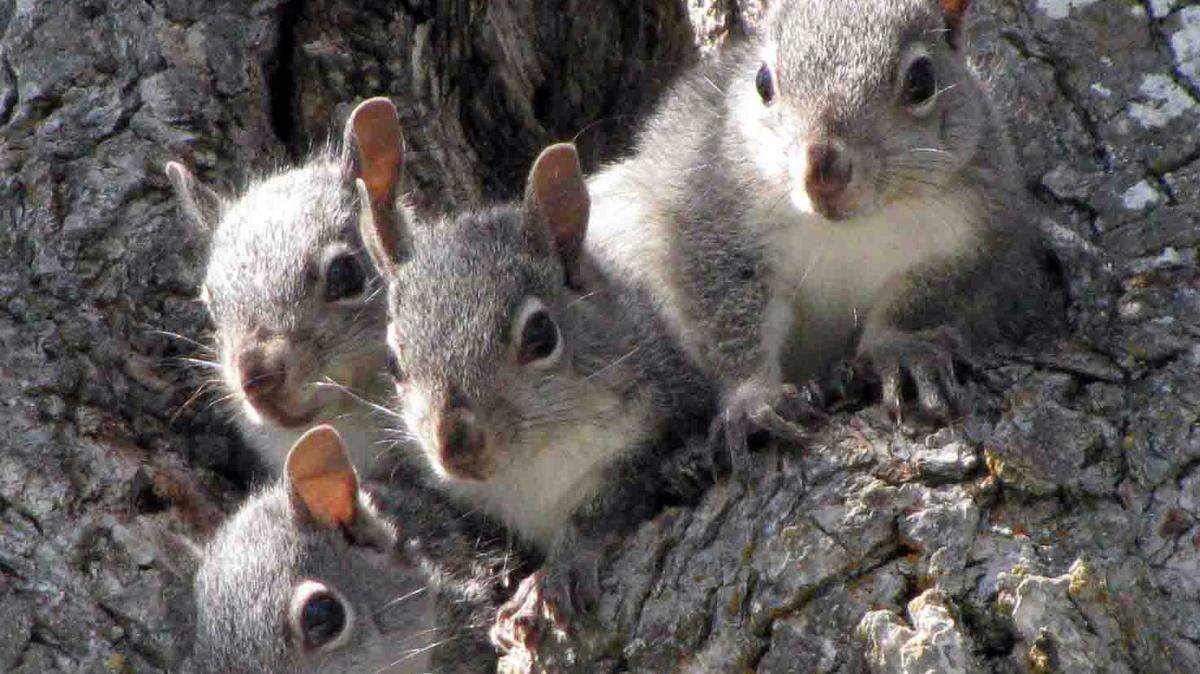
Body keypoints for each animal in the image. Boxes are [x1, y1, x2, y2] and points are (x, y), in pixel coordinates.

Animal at [347, 97, 719, 647]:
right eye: (393, 361)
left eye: (541, 336)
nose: (456, 446)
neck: (530, 468)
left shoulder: (658, 417)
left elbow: (604, 507)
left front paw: (554, 576)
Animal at [586, 0, 1054, 450]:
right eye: (762, 82)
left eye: (922, 81)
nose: (822, 170)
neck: (846, 229)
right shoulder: (708, 215)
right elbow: (724, 313)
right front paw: (754, 399)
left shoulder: (977, 232)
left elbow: (930, 296)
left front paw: (901, 350)